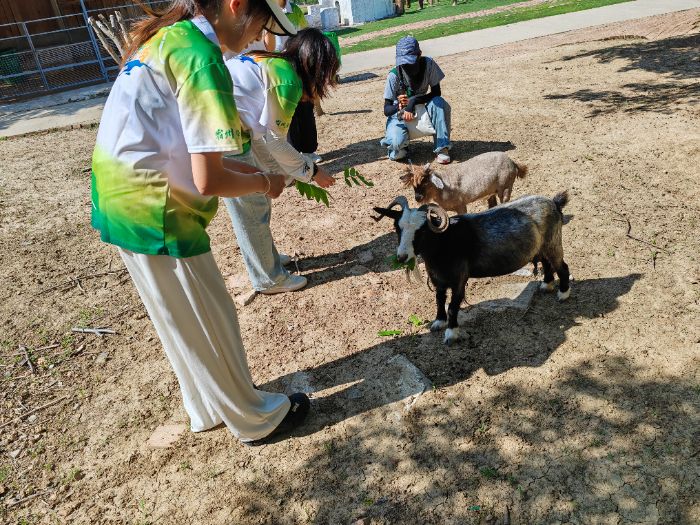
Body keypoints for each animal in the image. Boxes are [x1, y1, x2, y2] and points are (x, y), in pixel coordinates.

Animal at [372, 192, 571, 345]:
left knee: (562, 266)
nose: (402, 257)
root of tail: (554, 202)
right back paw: (546, 285)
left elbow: (453, 307)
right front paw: (439, 322)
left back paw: (563, 294)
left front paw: (451, 334)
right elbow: (439, 300)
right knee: (547, 264)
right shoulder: (438, 280)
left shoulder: (459, 279)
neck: (444, 242)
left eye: (422, 230)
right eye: (397, 227)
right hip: (541, 247)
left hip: (553, 242)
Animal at [399, 151, 528, 214]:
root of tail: (513, 163)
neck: (443, 187)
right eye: (413, 184)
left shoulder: (461, 206)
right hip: (492, 192)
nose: (418, 198)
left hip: (505, 187)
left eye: (425, 181)